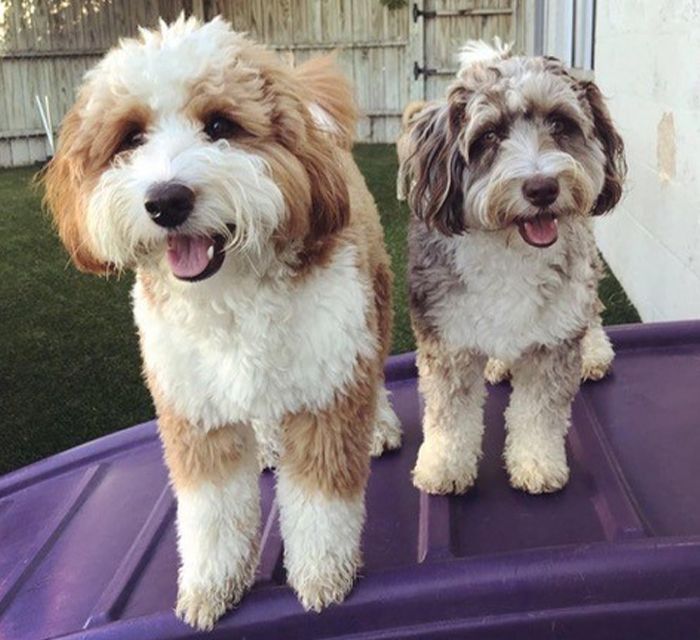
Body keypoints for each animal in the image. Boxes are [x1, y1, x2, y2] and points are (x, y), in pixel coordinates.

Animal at [45, 15, 400, 632]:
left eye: (220, 125)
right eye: (131, 137)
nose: (167, 201)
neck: (230, 292)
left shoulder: (327, 388)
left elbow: (319, 505)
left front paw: (321, 577)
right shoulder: (194, 412)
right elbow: (211, 513)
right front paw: (212, 586)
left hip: (371, 310)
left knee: (374, 373)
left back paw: (378, 425)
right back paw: (266, 445)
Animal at [402, 42, 628, 498]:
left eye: (559, 123)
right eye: (488, 136)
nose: (542, 188)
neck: (509, 249)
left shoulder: (553, 338)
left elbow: (538, 413)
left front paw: (537, 464)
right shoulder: (447, 335)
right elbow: (450, 413)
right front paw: (443, 466)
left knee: (593, 310)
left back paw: (595, 352)